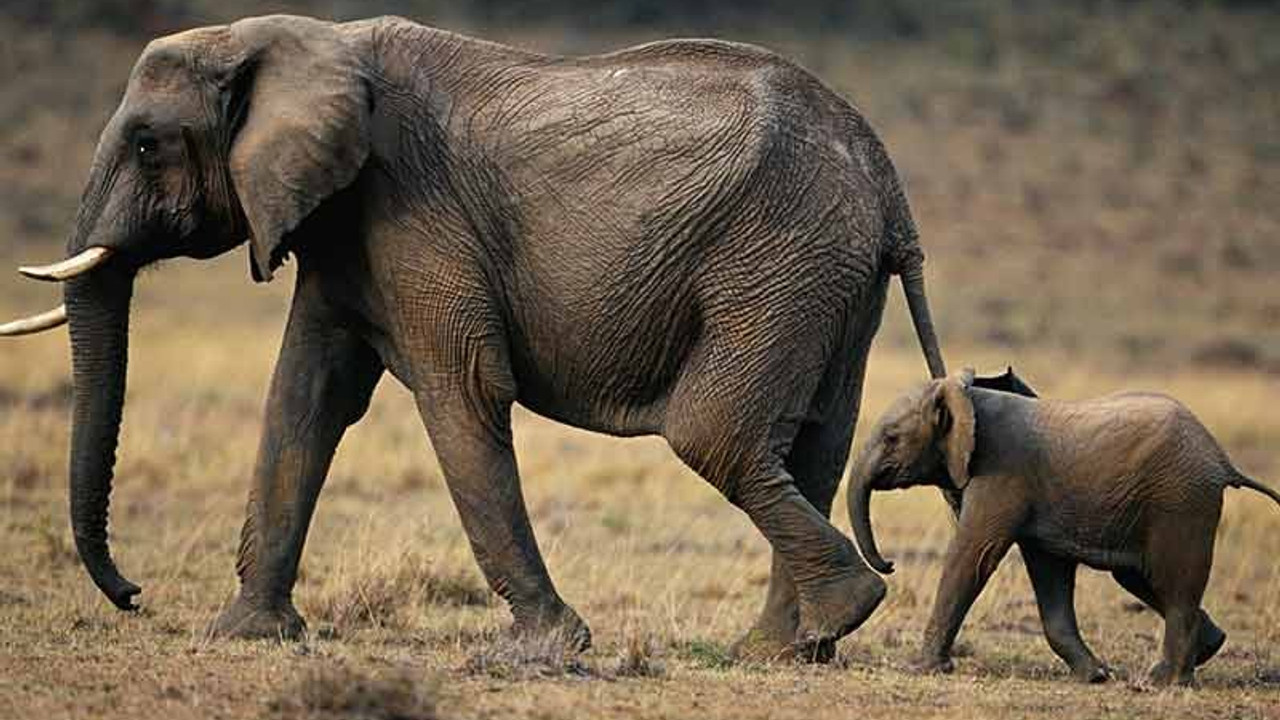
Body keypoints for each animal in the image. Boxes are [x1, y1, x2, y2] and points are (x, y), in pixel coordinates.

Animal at [2, 14, 952, 661]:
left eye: (148, 145)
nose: (131, 594)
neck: (295, 39)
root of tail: (890, 183)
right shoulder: (343, 228)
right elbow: (304, 397)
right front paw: (245, 636)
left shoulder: (412, 212)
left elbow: (460, 390)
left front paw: (548, 649)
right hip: (828, 278)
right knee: (812, 446)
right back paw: (785, 648)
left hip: (779, 257)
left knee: (714, 435)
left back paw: (838, 611)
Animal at [844, 368, 1274, 681]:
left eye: (891, 437)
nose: (890, 565)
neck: (966, 397)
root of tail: (1222, 459)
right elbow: (1048, 573)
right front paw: (1095, 676)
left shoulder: (1001, 474)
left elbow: (972, 556)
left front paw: (921, 669)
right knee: (1144, 578)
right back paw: (1207, 649)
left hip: (1181, 500)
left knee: (1174, 581)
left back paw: (1161, 681)